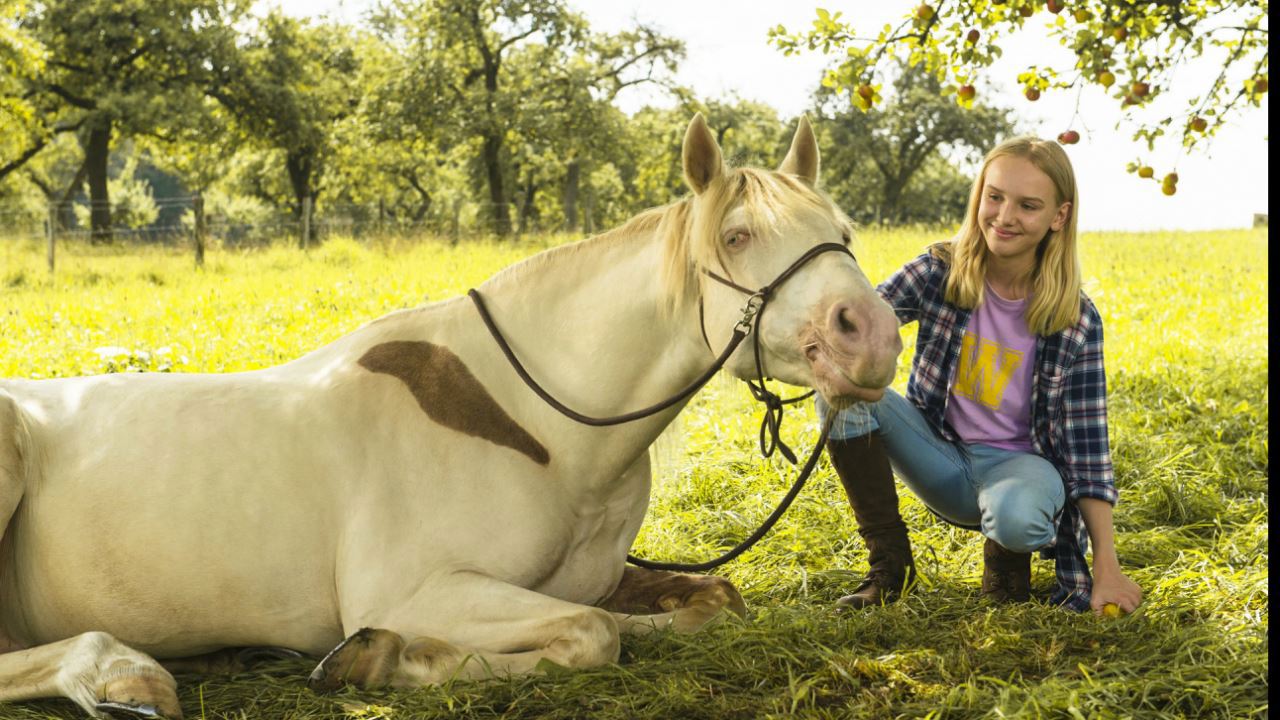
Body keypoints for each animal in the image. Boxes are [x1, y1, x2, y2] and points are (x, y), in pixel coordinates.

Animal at [0, 114, 901, 712]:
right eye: (739, 236)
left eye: (844, 230)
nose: (872, 334)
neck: (533, 429)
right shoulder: (415, 592)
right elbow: (591, 634)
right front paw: (378, 662)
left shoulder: (598, 578)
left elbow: (705, 603)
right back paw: (122, 673)